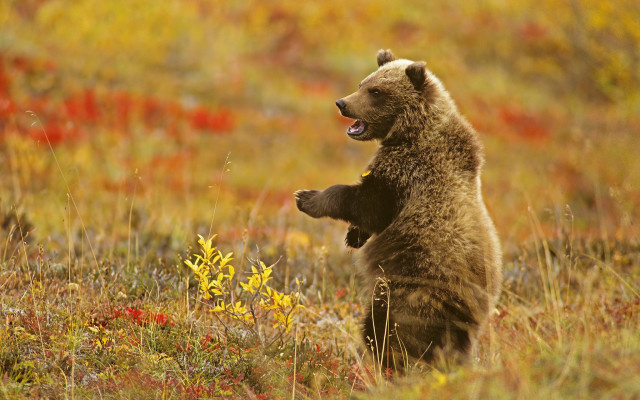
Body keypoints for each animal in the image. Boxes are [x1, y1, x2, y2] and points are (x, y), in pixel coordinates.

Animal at [295, 50, 502, 369]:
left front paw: (307, 198)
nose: (342, 103)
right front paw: (354, 236)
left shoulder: (408, 174)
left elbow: (366, 203)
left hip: (415, 289)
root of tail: (475, 310)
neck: (408, 132)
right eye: (363, 83)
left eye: (376, 91)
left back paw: (388, 361)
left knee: (386, 327)